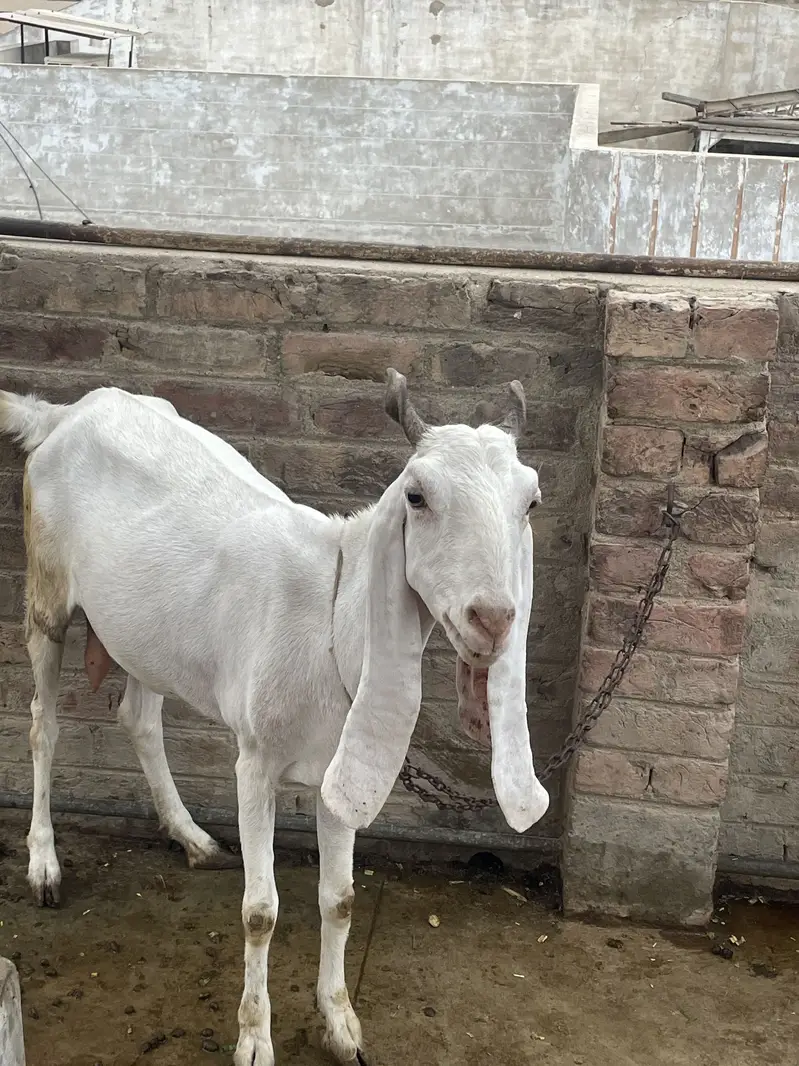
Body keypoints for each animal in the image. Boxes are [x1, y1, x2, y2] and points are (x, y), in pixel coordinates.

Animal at [0, 370, 548, 1066]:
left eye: (530, 502)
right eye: (417, 496)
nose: (494, 619)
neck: (330, 619)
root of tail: (63, 416)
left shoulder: (341, 768)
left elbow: (340, 901)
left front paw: (341, 1025)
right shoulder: (256, 760)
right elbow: (260, 911)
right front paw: (255, 1039)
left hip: (145, 634)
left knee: (139, 718)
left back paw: (193, 838)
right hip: (45, 588)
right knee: (42, 723)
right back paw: (44, 866)